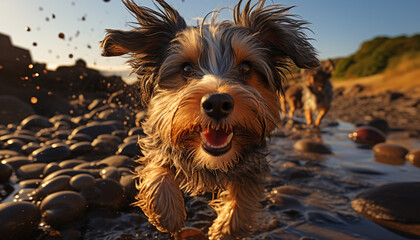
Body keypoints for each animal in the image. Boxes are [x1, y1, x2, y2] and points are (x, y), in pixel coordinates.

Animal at [101, 0, 318, 238]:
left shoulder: (253, 163)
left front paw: (224, 228)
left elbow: (244, 197)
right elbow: (157, 169)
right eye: (186, 68)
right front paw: (167, 214)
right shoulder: (158, 139)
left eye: (246, 67)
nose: (217, 103)